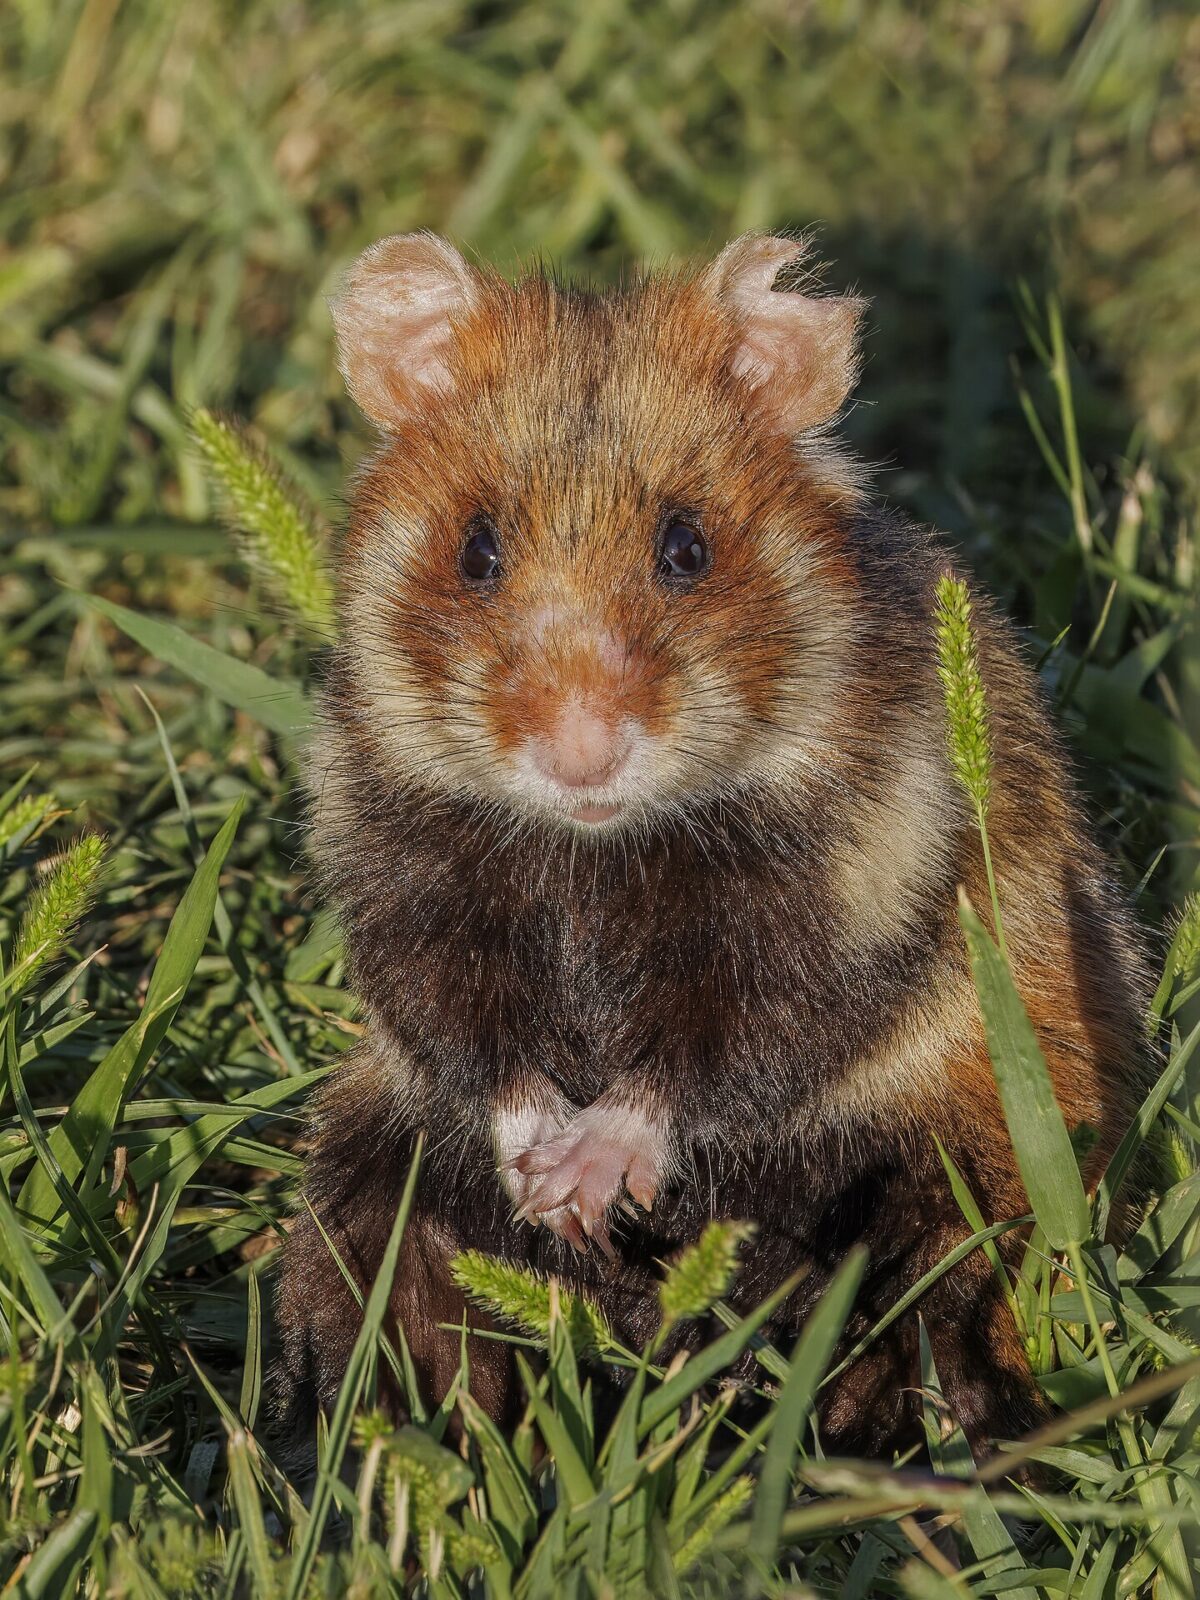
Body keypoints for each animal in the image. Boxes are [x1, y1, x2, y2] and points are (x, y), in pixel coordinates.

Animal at [273, 232, 1150, 1458]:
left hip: (981, 1129)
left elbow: (719, 1055)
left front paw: (584, 1181)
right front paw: (545, 1193)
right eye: (477, 551)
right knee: (374, 1244)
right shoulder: (403, 886)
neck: (595, 854)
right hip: (367, 1143)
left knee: (939, 1277)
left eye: (686, 547)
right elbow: (475, 1040)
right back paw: (405, 1412)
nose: (583, 754)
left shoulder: (851, 898)